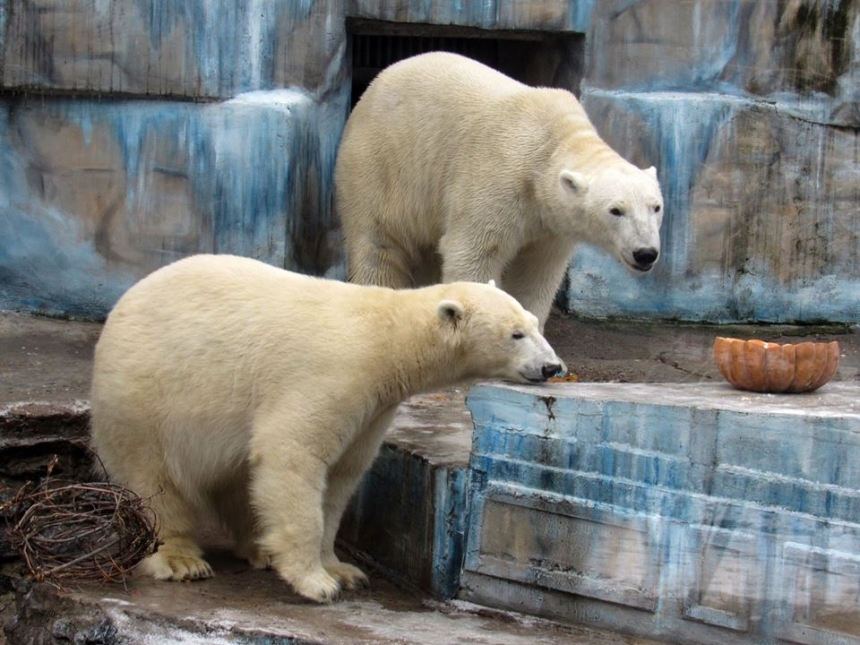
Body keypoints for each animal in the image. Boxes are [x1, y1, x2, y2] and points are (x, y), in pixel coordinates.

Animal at [89, 254, 564, 600]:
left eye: (534, 324)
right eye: (516, 334)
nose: (552, 367)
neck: (383, 336)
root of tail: (122, 305)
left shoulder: (373, 408)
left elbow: (340, 478)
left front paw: (342, 570)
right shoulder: (330, 373)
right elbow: (294, 455)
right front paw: (316, 582)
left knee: (240, 481)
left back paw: (260, 547)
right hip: (143, 398)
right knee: (156, 480)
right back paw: (181, 560)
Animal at [336, 50, 664, 328]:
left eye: (656, 207)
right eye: (616, 210)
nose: (645, 253)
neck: (552, 143)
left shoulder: (551, 224)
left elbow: (537, 271)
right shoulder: (498, 176)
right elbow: (474, 253)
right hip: (379, 165)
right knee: (378, 246)